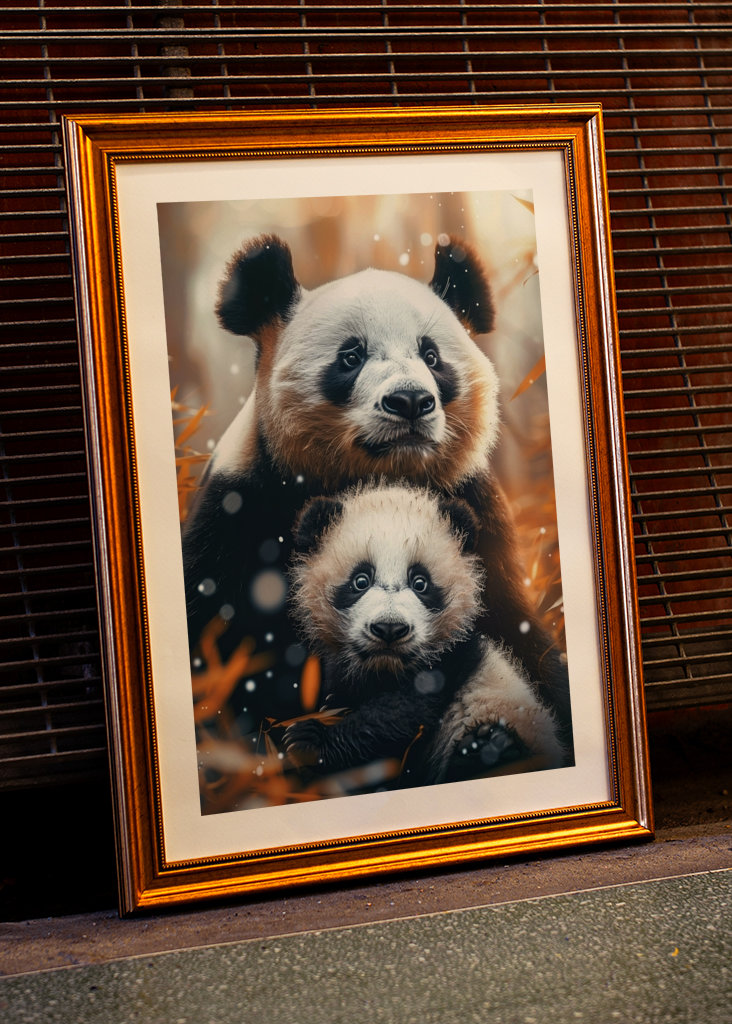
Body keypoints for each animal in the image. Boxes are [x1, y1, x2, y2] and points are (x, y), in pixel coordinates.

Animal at [285, 482, 564, 784]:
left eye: (420, 582)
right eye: (361, 580)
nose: (390, 629)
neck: (386, 668)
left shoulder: (451, 659)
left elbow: (399, 715)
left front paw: (308, 741)